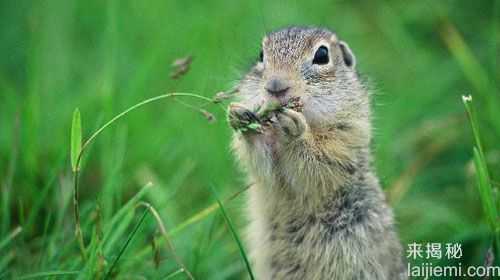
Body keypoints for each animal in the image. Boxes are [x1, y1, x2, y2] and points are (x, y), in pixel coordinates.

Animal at [229, 26, 408, 280]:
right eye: (261, 55)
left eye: (322, 55)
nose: (275, 86)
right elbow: (261, 165)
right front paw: (241, 117)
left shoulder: (346, 137)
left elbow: (321, 163)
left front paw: (295, 128)